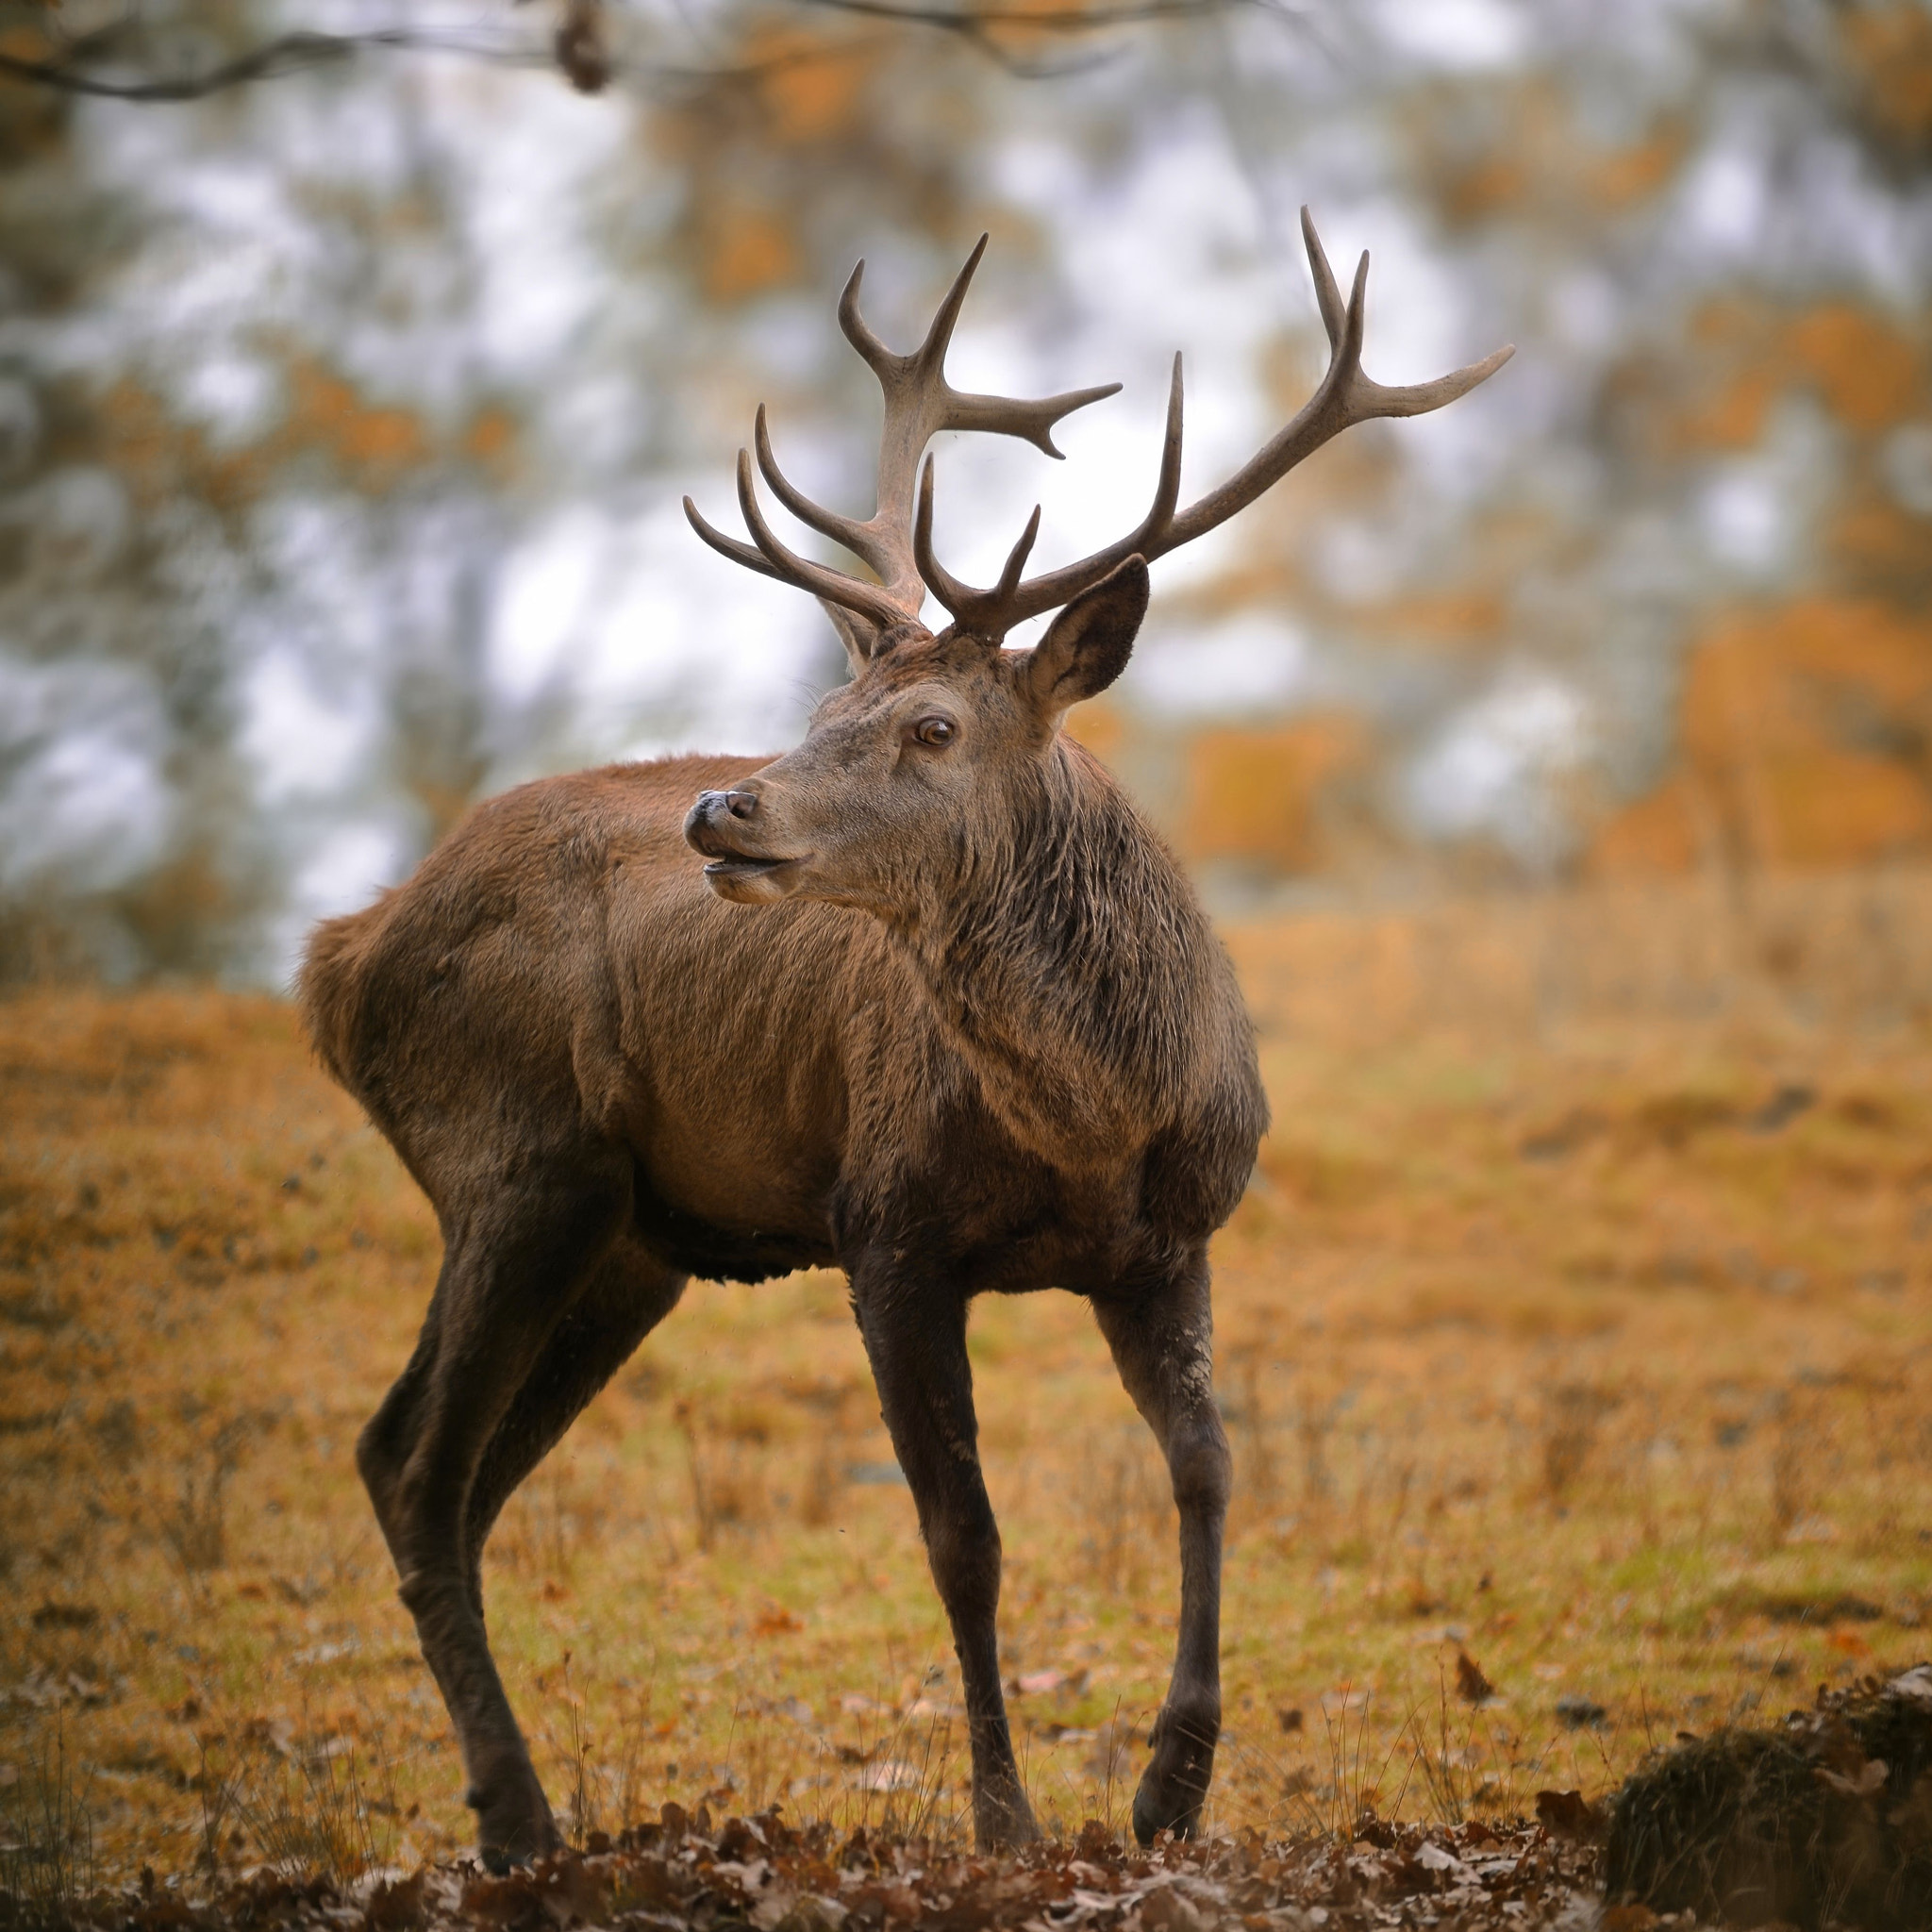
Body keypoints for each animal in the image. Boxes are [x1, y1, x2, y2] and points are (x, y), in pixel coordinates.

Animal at [298, 209, 1510, 1871]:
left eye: (931, 728)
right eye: (824, 706)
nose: (722, 807)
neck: (1091, 1128)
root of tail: (342, 958)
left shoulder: (1173, 1240)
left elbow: (1207, 1467)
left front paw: (1171, 1785)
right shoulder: (885, 1227)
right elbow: (962, 1532)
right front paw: (1007, 1815)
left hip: (627, 1241)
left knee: (443, 1469)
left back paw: (515, 1805)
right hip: (514, 1156)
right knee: (412, 1465)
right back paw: (519, 1816)